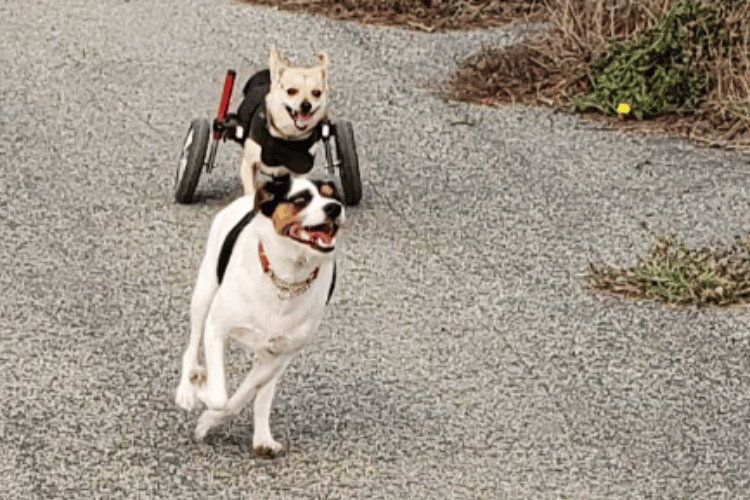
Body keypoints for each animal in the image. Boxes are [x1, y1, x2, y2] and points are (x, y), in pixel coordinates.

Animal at [176, 174, 344, 456]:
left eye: (334, 196)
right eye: (300, 199)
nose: (335, 208)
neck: (287, 279)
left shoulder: (280, 355)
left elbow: (239, 399)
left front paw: (209, 419)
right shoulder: (216, 329)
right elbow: (220, 396)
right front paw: (200, 391)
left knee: (262, 395)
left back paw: (263, 437)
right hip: (204, 291)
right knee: (191, 346)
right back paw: (187, 390)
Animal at [239, 47, 330, 195]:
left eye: (316, 93)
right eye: (291, 91)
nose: (306, 105)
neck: (285, 137)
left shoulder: (298, 170)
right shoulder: (248, 165)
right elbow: (250, 190)